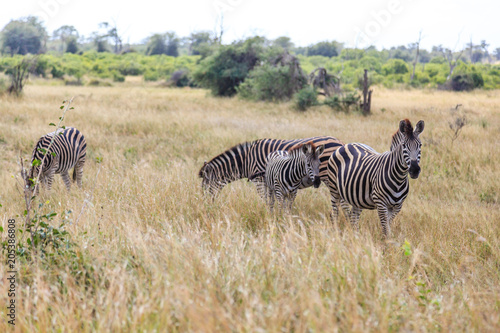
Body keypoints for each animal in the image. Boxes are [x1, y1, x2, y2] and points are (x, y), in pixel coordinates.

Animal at [198, 136, 344, 196]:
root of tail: (339, 142)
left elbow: (264, 199)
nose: (206, 206)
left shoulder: (259, 180)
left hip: (328, 177)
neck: (246, 160)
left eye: (205, 186)